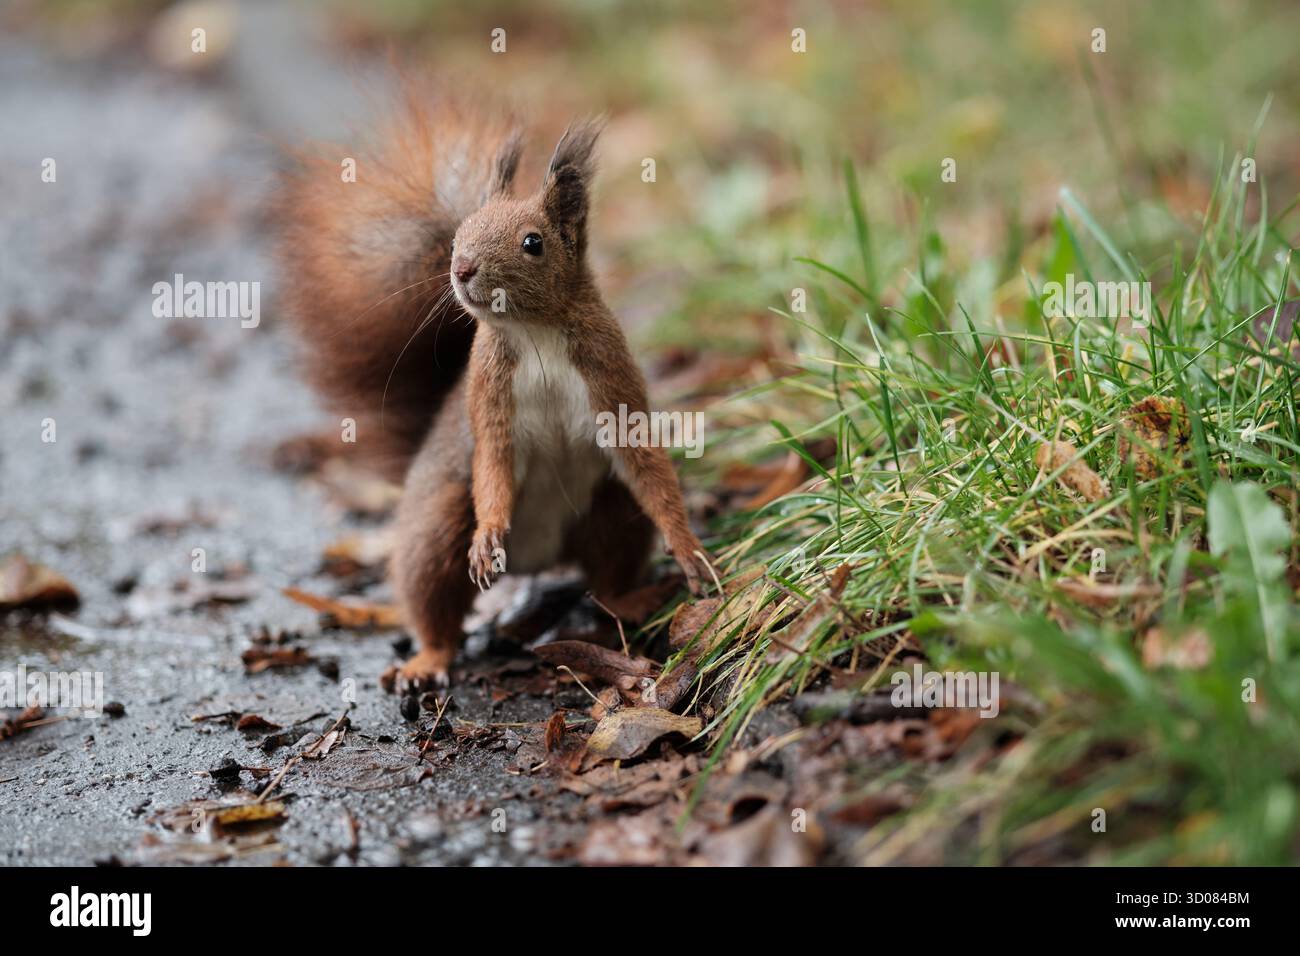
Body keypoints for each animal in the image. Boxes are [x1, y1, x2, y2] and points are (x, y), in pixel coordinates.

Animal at [279, 92, 712, 690]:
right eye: (459, 234)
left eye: (533, 243)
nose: (461, 268)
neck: (533, 332)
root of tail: (535, 560)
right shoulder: (489, 397)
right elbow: (493, 464)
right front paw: (487, 534)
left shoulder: (610, 378)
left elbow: (645, 465)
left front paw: (688, 550)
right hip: (436, 526)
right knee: (435, 604)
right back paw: (428, 660)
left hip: (611, 509)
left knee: (606, 575)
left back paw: (631, 598)